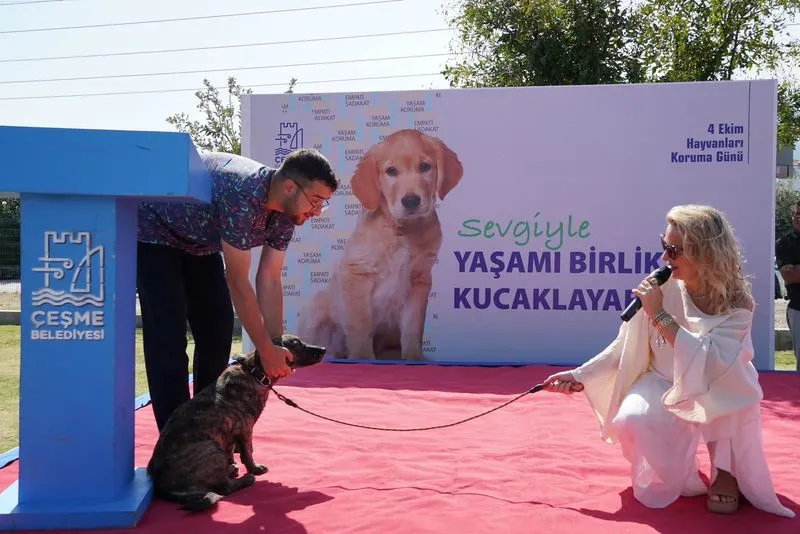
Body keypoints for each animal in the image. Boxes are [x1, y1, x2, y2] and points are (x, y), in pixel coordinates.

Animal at [147, 332, 324, 512]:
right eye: (297, 344)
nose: (323, 349)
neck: (255, 373)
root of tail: (161, 487)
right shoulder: (245, 429)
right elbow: (248, 452)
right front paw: (254, 469)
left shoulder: (230, 434)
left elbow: (232, 450)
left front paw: (234, 463)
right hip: (212, 448)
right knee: (224, 488)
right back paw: (245, 480)